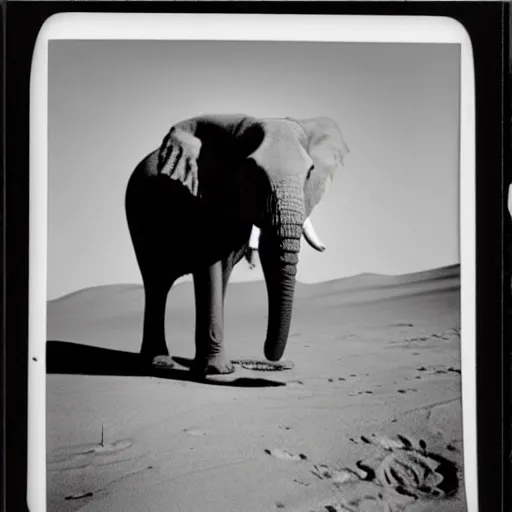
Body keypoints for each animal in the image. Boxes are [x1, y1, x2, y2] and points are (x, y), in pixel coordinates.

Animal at [125, 114, 348, 374]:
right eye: (252, 171)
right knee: (156, 283)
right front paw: (217, 372)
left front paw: (215, 369)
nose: (280, 362)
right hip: (138, 216)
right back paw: (159, 362)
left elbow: (220, 267)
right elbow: (208, 262)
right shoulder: (202, 197)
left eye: (310, 172)